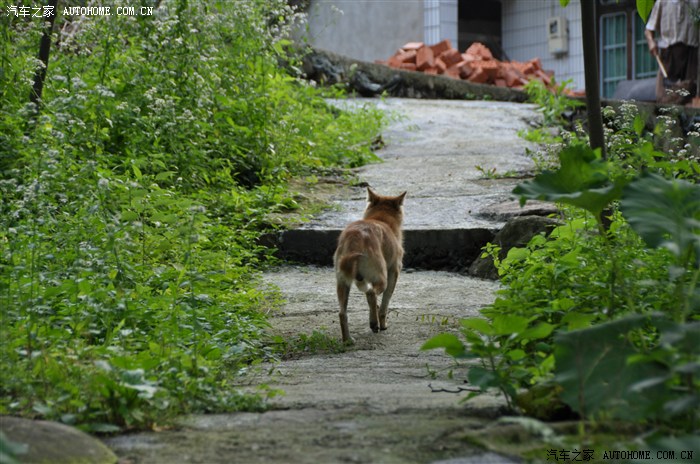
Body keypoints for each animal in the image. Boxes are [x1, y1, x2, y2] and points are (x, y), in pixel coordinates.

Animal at [333, 187, 406, 344]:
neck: (380, 219)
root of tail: (355, 239)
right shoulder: (394, 272)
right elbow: (384, 304)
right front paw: (382, 324)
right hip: (381, 277)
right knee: (371, 293)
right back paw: (373, 323)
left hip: (342, 284)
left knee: (342, 313)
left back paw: (348, 340)